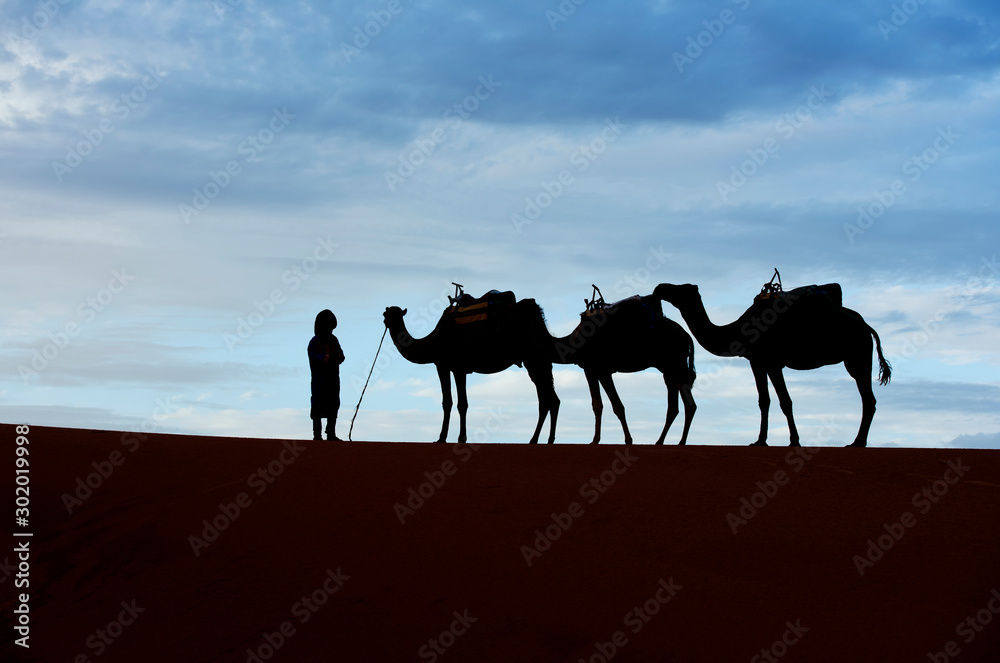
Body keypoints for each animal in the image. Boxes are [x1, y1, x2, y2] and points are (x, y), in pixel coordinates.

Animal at [382, 292, 560, 444]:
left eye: (386, 315)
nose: (385, 321)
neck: (432, 341)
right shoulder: (454, 367)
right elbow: (455, 402)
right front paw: (449, 437)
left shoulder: (447, 365)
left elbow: (456, 403)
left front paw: (451, 438)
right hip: (538, 360)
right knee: (549, 399)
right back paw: (542, 440)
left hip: (534, 358)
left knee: (548, 399)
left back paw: (538, 440)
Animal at [552, 292, 700, 444]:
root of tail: (686, 336)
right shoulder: (592, 370)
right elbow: (598, 405)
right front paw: (596, 439)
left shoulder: (600, 370)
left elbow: (615, 406)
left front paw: (626, 440)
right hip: (668, 369)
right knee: (675, 406)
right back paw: (661, 441)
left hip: (675, 364)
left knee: (688, 404)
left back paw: (679, 442)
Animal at [656, 282, 892, 448]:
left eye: (681, 289)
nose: (661, 287)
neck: (738, 331)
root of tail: (867, 326)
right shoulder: (759, 363)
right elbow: (765, 401)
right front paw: (761, 440)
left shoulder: (772, 362)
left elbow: (785, 401)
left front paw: (793, 440)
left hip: (857, 355)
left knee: (868, 399)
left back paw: (857, 442)